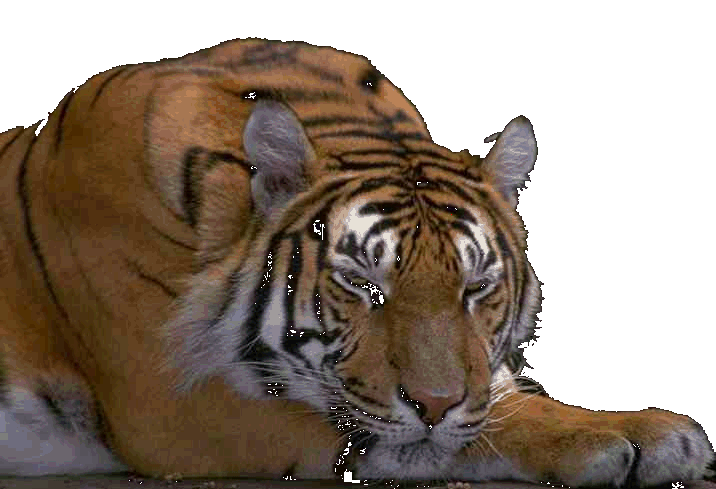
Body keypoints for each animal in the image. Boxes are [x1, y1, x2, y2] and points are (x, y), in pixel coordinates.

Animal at [0, 39, 712, 486]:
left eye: (476, 287)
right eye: (362, 283)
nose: (434, 405)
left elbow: (495, 397)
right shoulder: (178, 402)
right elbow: (482, 422)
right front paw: (644, 436)